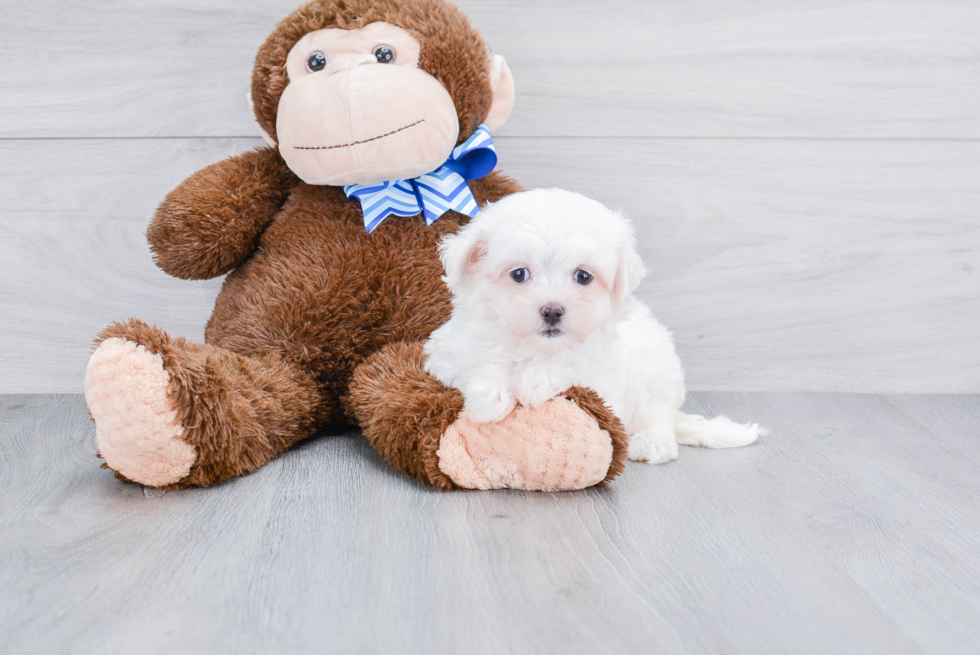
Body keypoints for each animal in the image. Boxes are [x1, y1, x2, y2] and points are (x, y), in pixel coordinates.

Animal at [424, 188, 760, 466]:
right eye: (519, 274)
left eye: (583, 277)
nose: (552, 311)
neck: (532, 347)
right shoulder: (447, 353)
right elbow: (478, 363)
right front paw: (490, 399)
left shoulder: (603, 381)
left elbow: (571, 363)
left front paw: (536, 381)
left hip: (658, 374)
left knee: (659, 416)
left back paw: (652, 443)